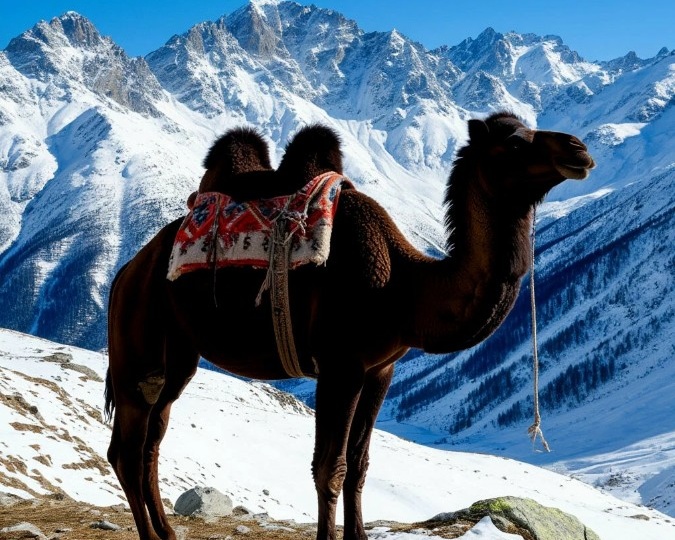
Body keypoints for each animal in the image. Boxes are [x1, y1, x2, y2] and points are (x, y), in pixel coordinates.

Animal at [105, 111, 595, 540]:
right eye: (513, 142)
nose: (580, 149)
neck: (403, 287)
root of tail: (127, 270)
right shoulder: (339, 368)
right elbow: (329, 467)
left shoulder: (380, 370)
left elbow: (359, 464)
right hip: (135, 351)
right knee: (126, 449)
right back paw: (149, 534)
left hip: (178, 356)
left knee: (152, 438)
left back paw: (168, 531)